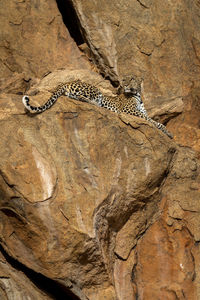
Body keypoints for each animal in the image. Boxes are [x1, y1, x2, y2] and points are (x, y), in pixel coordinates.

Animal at [21, 79, 172, 138]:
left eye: (132, 80)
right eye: (125, 80)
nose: (126, 86)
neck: (138, 96)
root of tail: (66, 82)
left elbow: (151, 119)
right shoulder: (129, 111)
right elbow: (152, 121)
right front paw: (167, 132)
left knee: (72, 96)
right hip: (95, 90)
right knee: (80, 96)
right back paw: (95, 104)